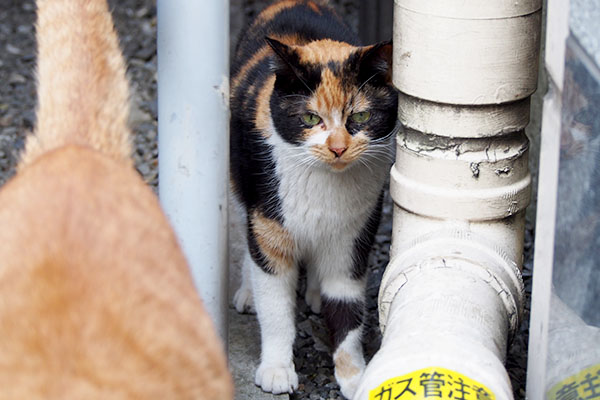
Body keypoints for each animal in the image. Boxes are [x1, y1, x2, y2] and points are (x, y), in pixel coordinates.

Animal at [231, 0, 398, 396]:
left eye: (361, 116)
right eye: (309, 118)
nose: (337, 148)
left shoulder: (354, 237)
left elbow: (348, 309)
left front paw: (355, 376)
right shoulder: (269, 226)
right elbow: (276, 309)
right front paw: (277, 370)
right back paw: (247, 292)